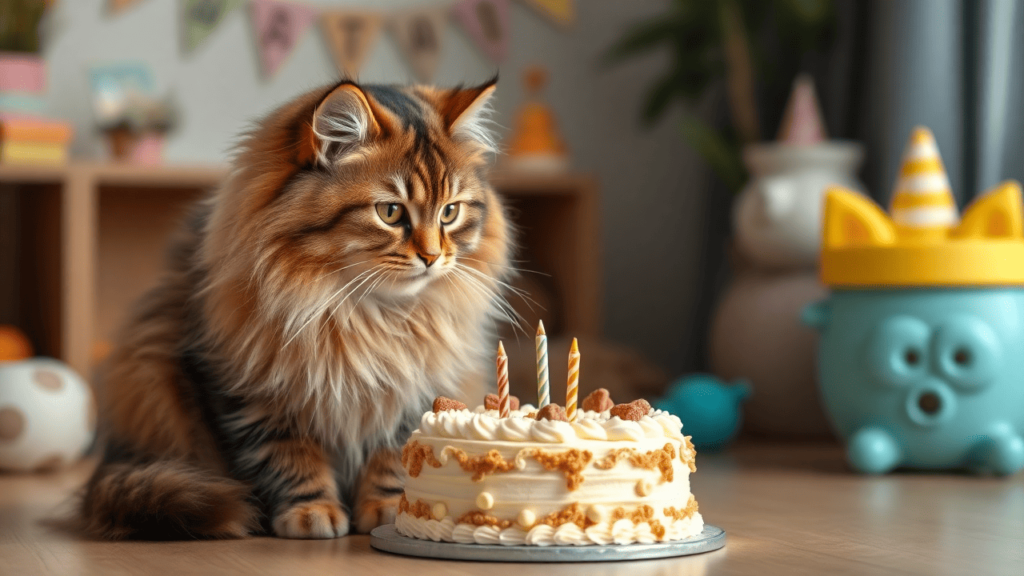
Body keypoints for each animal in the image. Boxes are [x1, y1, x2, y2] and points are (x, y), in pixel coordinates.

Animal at [79, 79, 512, 537]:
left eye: (450, 212)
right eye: (391, 212)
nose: (432, 257)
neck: (365, 316)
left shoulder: (414, 387)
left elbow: (393, 458)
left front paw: (391, 509)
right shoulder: (249, 391)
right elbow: (288, 459)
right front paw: (311, 512)